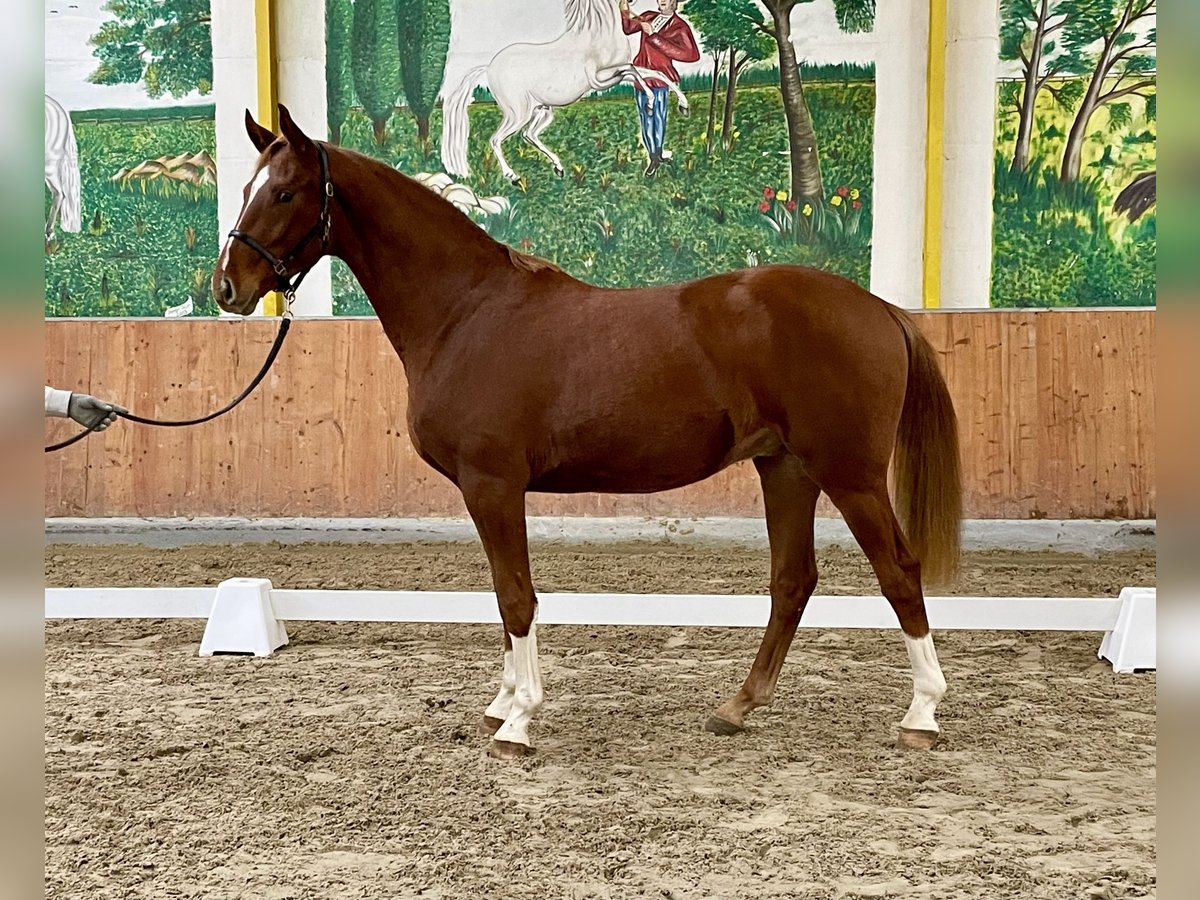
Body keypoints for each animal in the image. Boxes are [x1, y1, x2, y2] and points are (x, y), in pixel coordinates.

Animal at [216, 109, 960, 763]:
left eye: (284, 191)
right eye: (248, 187)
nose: (228, 287)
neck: (466, 311)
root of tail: (878, 307)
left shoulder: (492, 485)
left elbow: (516, 595)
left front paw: (518, 721)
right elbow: (503, 594)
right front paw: (504, 701)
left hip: (848, 474)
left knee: (898, 571)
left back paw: (921, 714)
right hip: (785, 469)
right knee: (792, 580)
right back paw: (737, 707)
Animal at [441, 0, 691, 181]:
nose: (630, 1)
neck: (598, 36)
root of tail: (489, 67)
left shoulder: (614, 74)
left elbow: (653, 73)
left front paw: (683, 105)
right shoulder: (601, 79)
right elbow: (633, 71)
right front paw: (649, 102)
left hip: (543, 110)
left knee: (529, 135)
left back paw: (559, 168)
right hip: (518, 112)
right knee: (496, 139)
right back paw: (512, 175)